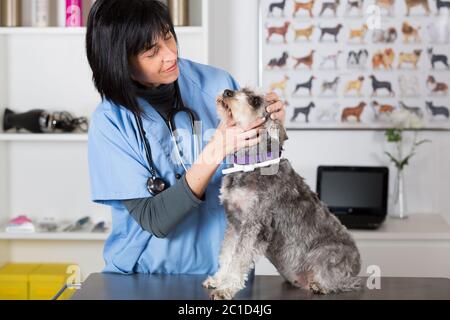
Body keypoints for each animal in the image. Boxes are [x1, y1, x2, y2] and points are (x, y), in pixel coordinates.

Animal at [204, 87, 362, 300]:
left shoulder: (255, 226)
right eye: (242, 90)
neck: (252, 164)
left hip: (325, 254)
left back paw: (321, 285)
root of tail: (357, 267)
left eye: (255, 100)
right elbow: (228, 254)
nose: (228, 91)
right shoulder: (235, 223)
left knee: (342, 282)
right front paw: (218, 279)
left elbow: (239, 259)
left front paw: (226, 288)